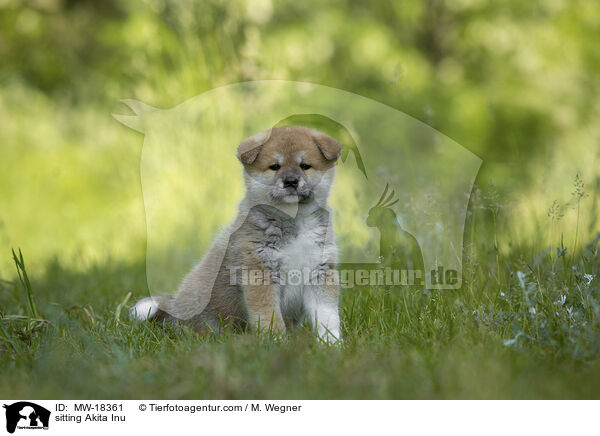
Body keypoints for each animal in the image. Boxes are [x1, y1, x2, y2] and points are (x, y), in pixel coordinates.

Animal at [131, 124, 342, 342]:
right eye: (275, 166)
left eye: (305, 165)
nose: (291, 181)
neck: (294, 220)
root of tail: (174, 313)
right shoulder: (258, 273)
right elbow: (270, 316)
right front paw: (276, 342)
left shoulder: (320, 272)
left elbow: (327, 317)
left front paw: (332, 343)